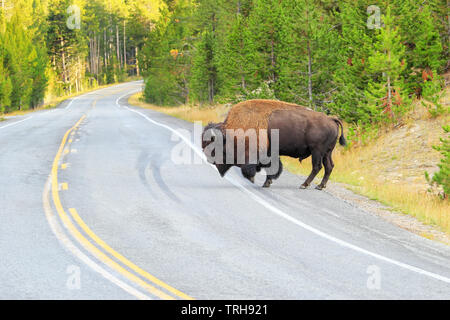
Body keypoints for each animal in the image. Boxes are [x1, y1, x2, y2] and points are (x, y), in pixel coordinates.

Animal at [202, 99, 346, 190]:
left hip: (317, 151)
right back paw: (320, 186)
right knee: (329, 166)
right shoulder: (271, 153)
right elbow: (273, 168)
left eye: (213, 147)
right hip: (327, 152)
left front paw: (254, 180)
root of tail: (331, 119)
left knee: (317, 167)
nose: (209, 160)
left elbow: (254, 168)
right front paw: (267, 182)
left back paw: (304, 185)